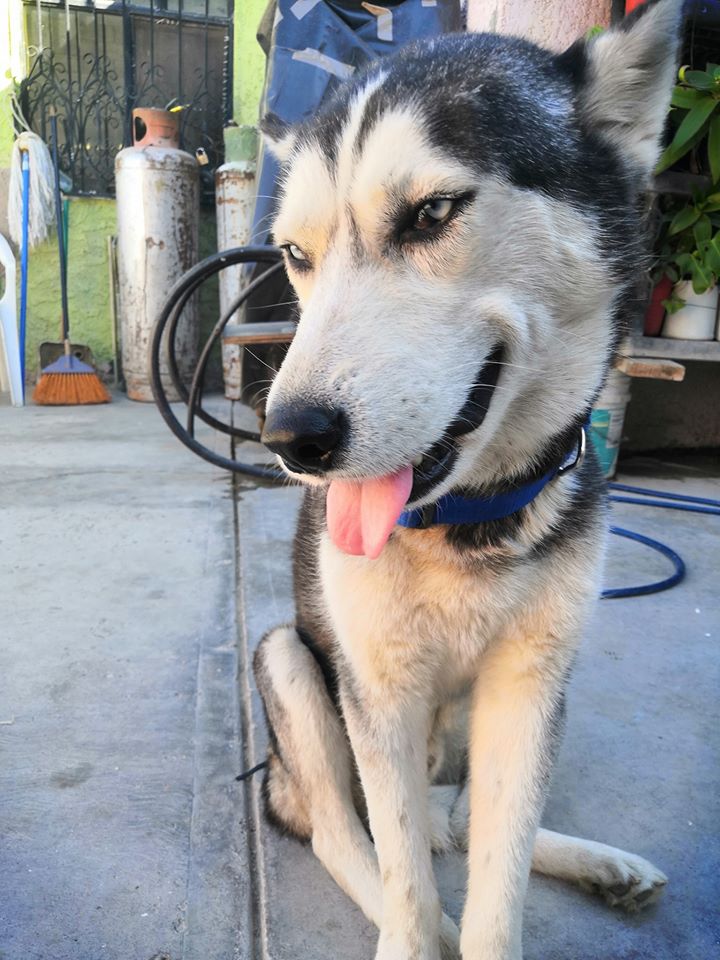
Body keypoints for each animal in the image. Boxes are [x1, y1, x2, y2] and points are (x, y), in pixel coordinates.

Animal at [253, 3, 680, 956]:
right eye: (295, 253)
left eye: (432, 213)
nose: (291, 436)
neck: (470, 522)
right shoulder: (376, 690)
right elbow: (406, 880)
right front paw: (424, 930)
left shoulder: (531, 685)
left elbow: (500, 866)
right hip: (287, 663)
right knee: (345, 832)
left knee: (459, 820)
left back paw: (602, 865)